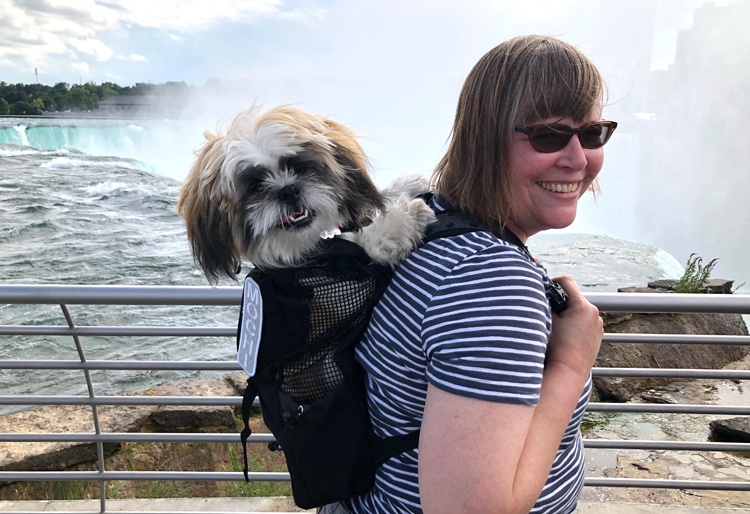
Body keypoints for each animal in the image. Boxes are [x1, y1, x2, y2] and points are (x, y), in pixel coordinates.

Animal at [178, 103, 434, 280]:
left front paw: (407, 185)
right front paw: (406, 214)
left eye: (299, 167)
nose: (288, 190)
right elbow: (375, 240)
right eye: (255, 186)